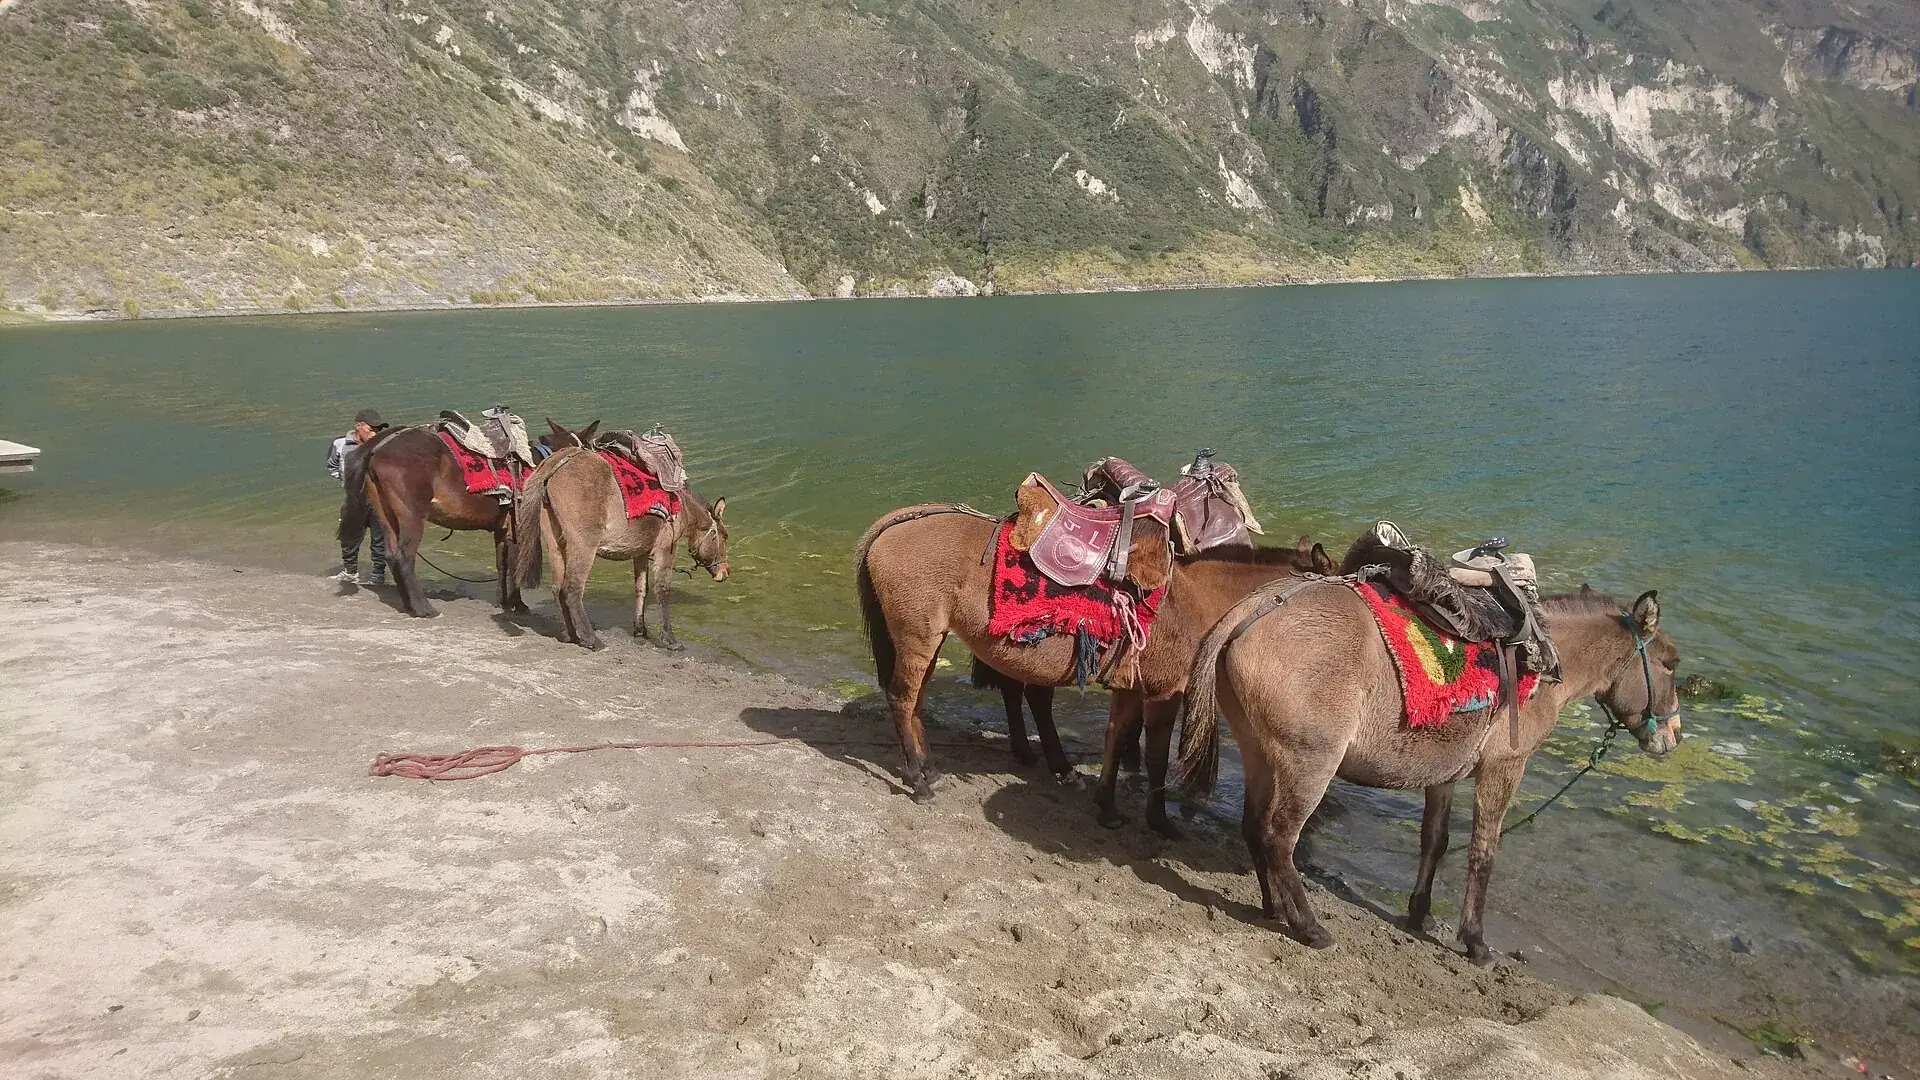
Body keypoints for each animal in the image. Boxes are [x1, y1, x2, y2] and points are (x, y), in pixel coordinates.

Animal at [337, 420, 591, 618]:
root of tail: (379, 447)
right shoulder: (516, 528)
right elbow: (514, 566)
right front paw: (517, 604)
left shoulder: (503, 529)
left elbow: (503, 565)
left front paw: (505, 602)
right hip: (412, 515)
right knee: (404, 557)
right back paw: (423, 608)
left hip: (386, 515)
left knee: (390, 555)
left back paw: (409, 605)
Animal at [511, 422, 729, 649]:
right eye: (724, 536)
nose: (724, 572)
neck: (682, 507)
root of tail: (557, 462)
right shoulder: (665, 548)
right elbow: (663, 590)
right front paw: (669, 638)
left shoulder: (641, 553)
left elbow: (641, 588)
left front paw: (640, 629)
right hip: (583, 546)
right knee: (571, 589)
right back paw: (591, 639)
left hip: (555, 544)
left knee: (557, 589)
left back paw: (572, 635)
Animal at [855, 505, 1331, 809]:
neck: (1193, 597)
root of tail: (893, 524)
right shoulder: (1164, 692)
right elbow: (1155, 758)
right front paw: (1157, 823)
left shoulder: (1132, 689)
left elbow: (1116, 738)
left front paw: (1106, 805)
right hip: (916, 637)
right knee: (901, 699)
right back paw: (918, 780)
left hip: (927, 641)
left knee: (915, 702)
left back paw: (930, 768)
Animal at [1177, 582, 1681, 963]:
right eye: (1671, 664)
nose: (1673, 735)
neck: (1541, 660)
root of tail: (1253, 608)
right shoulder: (1503, 770)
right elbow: (1483, 852)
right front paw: (1475, 941)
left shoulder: (1446, 777)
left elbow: (1434, 842)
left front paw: (1420, 914)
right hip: (1308, 765)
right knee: (1278, 836)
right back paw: (1308, 924)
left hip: (1261, 755)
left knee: (1253, 828)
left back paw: (1273, 907)